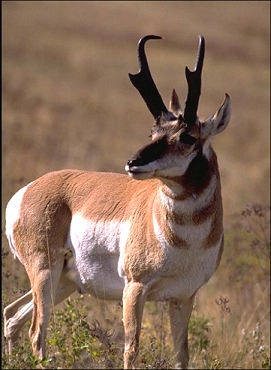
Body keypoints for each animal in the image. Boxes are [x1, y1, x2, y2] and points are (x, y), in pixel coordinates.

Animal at [3, 34, 232, 368]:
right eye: (153, 131)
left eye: (188, 136)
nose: (132, 162)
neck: (185, 239)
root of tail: (28, 191)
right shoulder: (134, 289)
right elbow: (131, 349)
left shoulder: (182, 297)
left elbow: (182, 355)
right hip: (44, 272)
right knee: (36, 330)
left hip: (63, 282)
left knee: (11, 316)